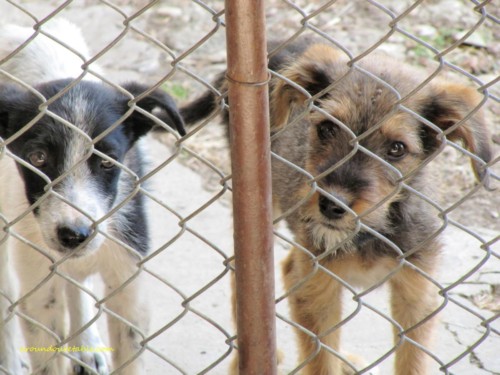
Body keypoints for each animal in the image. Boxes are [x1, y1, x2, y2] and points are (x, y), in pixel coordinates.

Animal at [0, 21, 184, 375]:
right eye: (38, 157)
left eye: (107, 161)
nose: (74, 235)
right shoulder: (39, 286)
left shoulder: (129, 281)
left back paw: (86, 347)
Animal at [176, 39, 492, 374]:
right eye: (326, 129)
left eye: (397, 149)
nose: (332, 204)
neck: (371, 231)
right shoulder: (315, 286)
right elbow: (320, 357)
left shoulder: (417, 294)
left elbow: (412, 360)